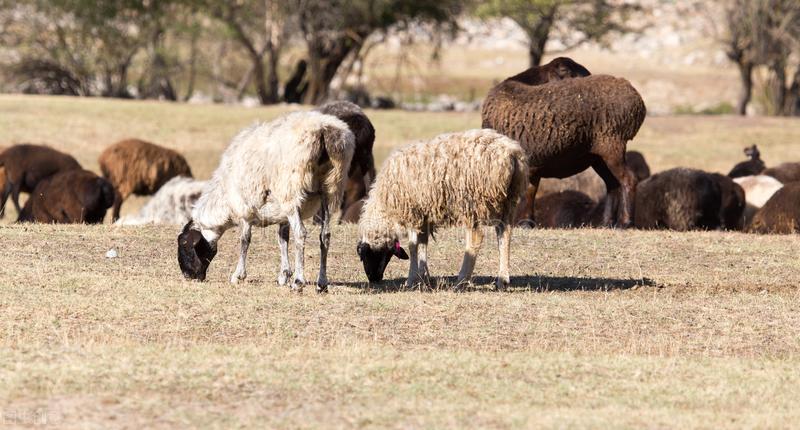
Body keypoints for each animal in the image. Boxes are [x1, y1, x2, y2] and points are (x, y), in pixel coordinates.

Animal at [178, 111, 354, 292]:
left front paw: (238, 275)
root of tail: (322, 129)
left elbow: (245, 240)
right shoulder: (282, 215)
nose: (187, 276)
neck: (224, 201)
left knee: (301, 233)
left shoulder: (244, 209)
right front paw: (284, 275)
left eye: (184, 245)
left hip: (291, 190)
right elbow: (282, 239)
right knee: (325, 235)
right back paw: (322, 283)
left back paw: (299, 282)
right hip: (331, 187)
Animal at [360, 127, 528, 288]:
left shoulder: (413, 212)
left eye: (366, 256)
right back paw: (502, 280)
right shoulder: (424, 215)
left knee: (476, 238)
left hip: (472, 201)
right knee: (505, 235)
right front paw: (424, 277)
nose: (374, 279)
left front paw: (411, 280)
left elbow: (413, 246)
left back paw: (461, 281)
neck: (384, 202)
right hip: (508, 201)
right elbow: (422, 244)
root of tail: (511, 153)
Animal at [484, 74, 648, 228]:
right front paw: (527, 223)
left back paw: (625, 222)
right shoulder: (532, 167)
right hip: (598, 158)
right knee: (612, 184)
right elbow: (530, 192)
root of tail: (637, 100)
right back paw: (607, 223)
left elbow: (527, 193)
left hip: (612, 147)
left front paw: (525, 223)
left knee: (629, 179)